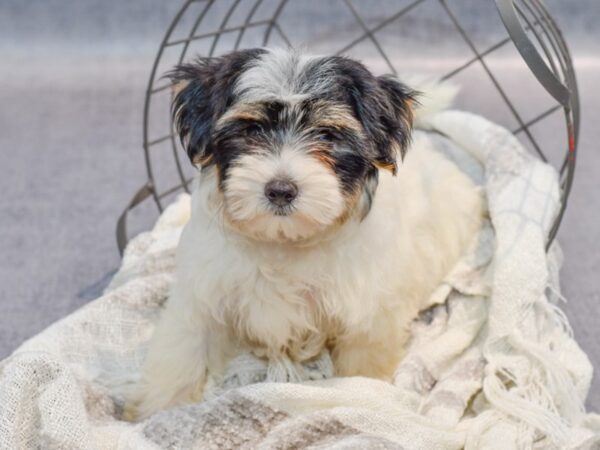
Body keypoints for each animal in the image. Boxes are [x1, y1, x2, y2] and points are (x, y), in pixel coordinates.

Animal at [127, 46, 482, 418]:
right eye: (251, 130)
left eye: (327, 135)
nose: (280, 190)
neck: (285, 240)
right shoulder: (204, 291)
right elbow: (183, 347)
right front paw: (158, 409)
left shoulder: (368, 312)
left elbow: (362, 360)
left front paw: (367, 397)